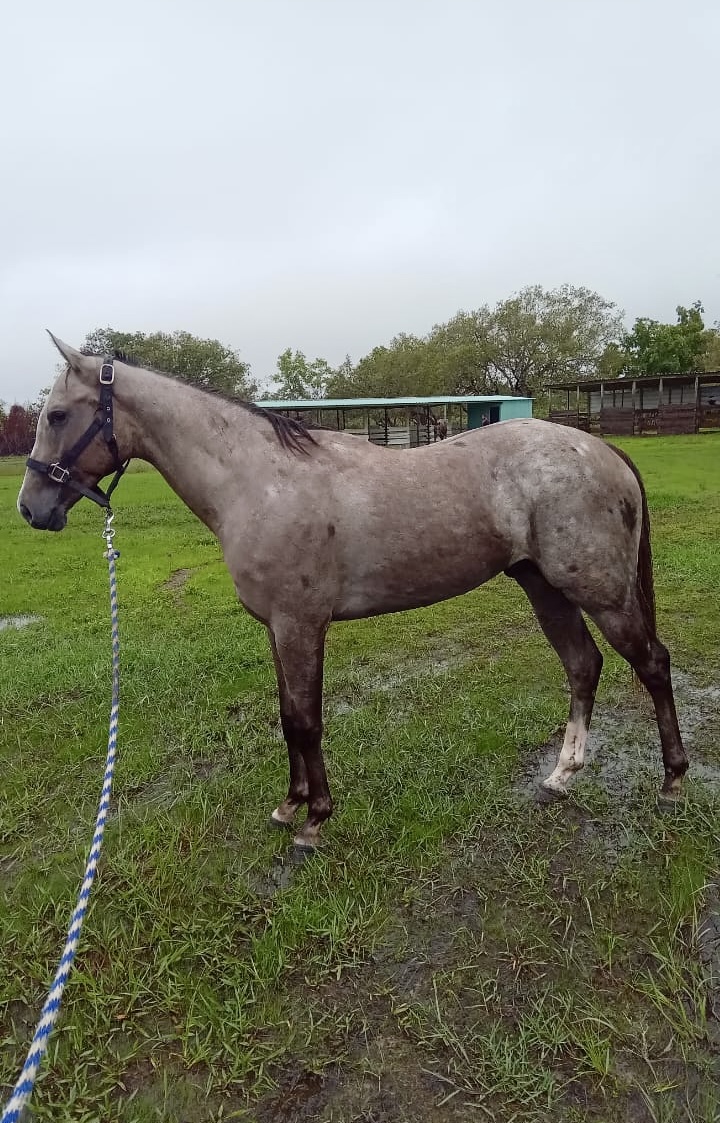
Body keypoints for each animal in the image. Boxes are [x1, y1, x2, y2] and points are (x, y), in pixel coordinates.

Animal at [19, 332, 687, 848]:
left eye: (57, 415)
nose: (31, 509)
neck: (259, 481)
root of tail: (600, 448)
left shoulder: (300, 625)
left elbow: (306, 720)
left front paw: (314, 821)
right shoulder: (278, 628)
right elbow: (287, 715)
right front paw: (290, 805)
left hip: (601, 592)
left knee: (652, 664)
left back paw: (674, 782)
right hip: (545, 588)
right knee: (583, 665)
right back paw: (562, 774)